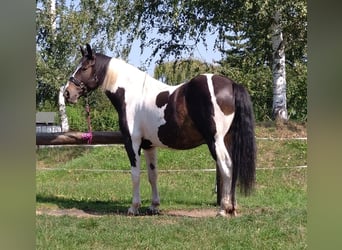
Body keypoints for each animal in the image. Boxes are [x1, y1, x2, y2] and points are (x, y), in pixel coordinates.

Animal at [63, 44, 256, 216]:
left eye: (84, 68)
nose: (67, 93)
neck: (132, 95)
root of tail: (231, 84)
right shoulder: (149, 145)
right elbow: (152, 174)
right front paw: (154, 206)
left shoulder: (132, 142)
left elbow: (135, 174)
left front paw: (133, 207)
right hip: (228, 139)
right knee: (233, 168)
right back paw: (233, 207)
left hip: (215, 141)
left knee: (226, 167)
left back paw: (223, 209)